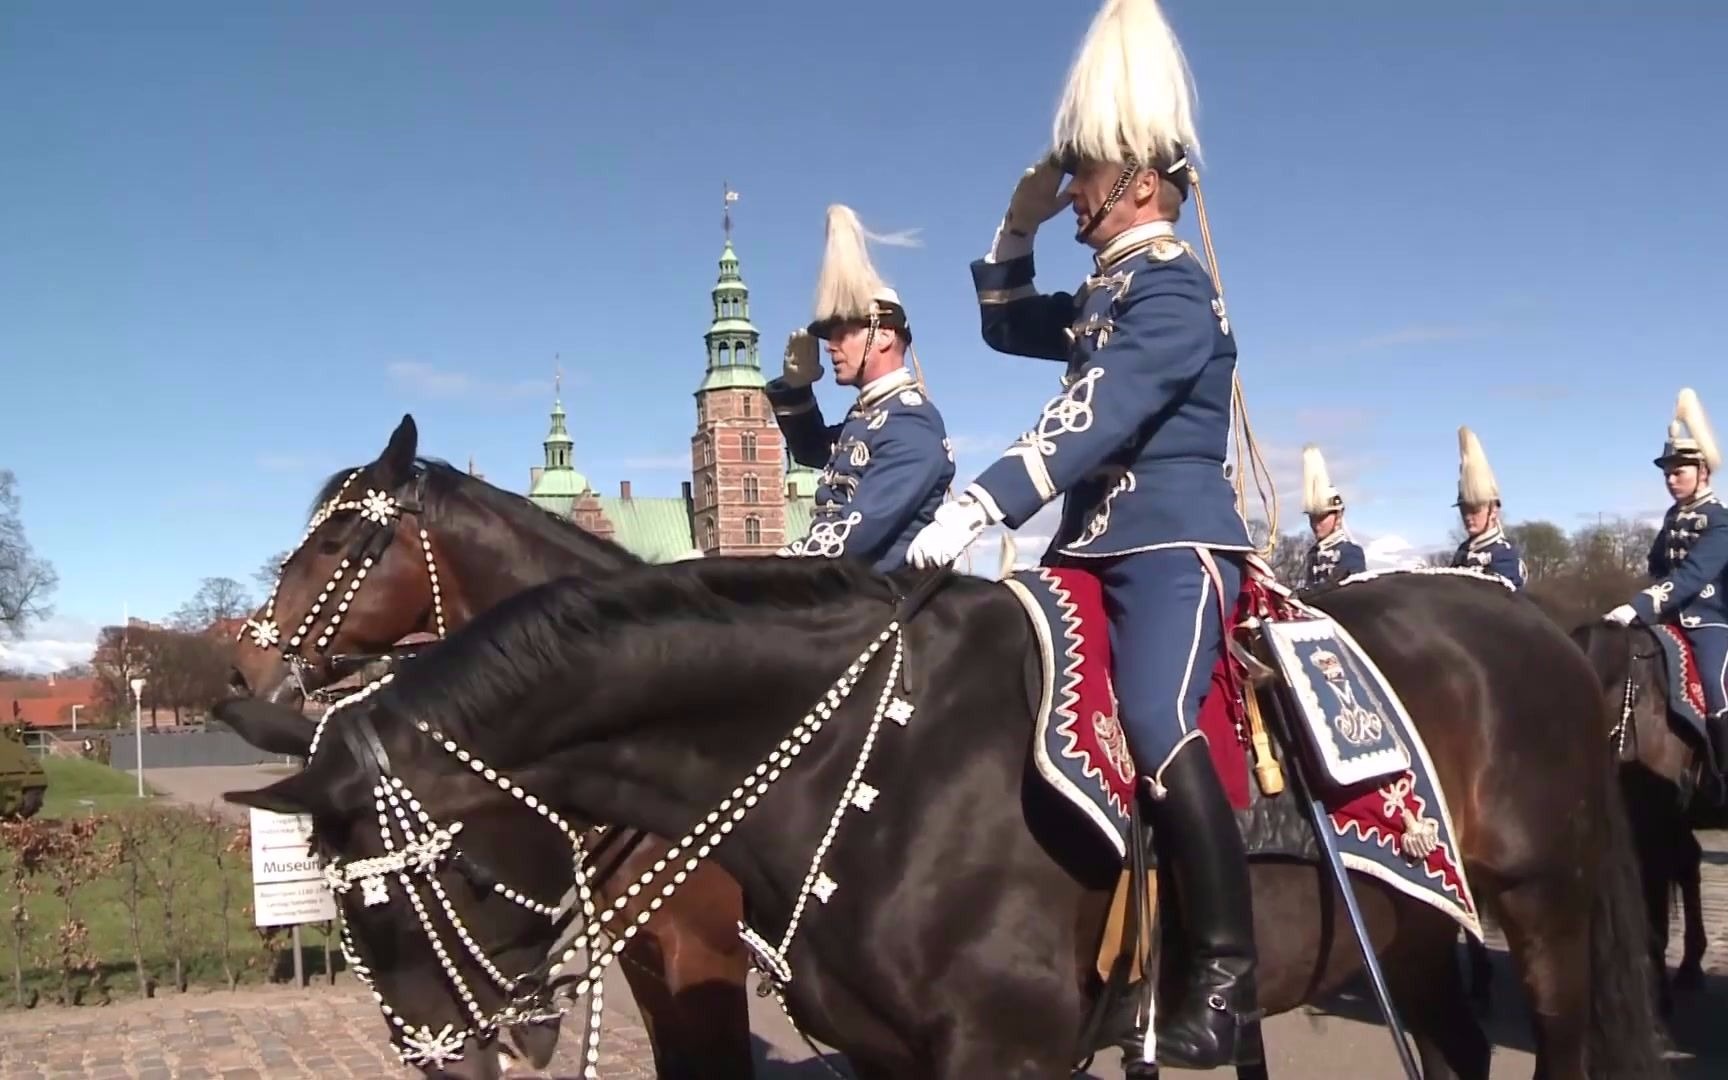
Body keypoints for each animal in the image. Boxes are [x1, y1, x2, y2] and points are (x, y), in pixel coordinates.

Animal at [222, 556, 1665, 1078]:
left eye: (440, 879)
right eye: (349, 913)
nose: (446, 1062)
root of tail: (1536, 623)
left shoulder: (1004, 1052)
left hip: (1548, 915)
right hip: (1414, 923)